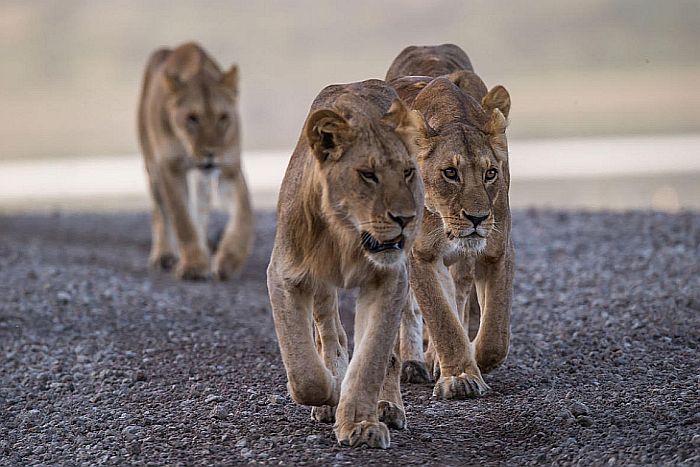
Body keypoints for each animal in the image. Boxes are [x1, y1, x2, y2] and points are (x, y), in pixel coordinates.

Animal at [138, 42, 253, 280]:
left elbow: (243, 215)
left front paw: (230, 260)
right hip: (151, 167)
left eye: (223, 117)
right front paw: (194, 264)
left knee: (200, 208)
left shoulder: (229, 168)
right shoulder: (169, 168)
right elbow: (182, 220)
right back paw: (164, 255)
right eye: (192, 118)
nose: (211, 153)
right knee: (160, 212)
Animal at [267, 79, 427, 448]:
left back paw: (388, 407)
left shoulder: (390, 278)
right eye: (368, 175)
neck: (347, 237)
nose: (406, 218)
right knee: (330, 334)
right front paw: (330, 393)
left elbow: (372, 357)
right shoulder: (284, 276)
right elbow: (303, 368)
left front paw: (359, 424)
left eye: (408, 172)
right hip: (321, 289)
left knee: (390, 355)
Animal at [386, 45, 514, 399]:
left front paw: (475, 361)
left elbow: (495, 333)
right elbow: (441, 318)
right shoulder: (421, 256)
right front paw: (459, 377)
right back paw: (414, 363)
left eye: (490, 173)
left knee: (460, 293)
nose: (478, 218)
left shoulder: (496, 251)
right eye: (450, 173)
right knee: (412, 309)